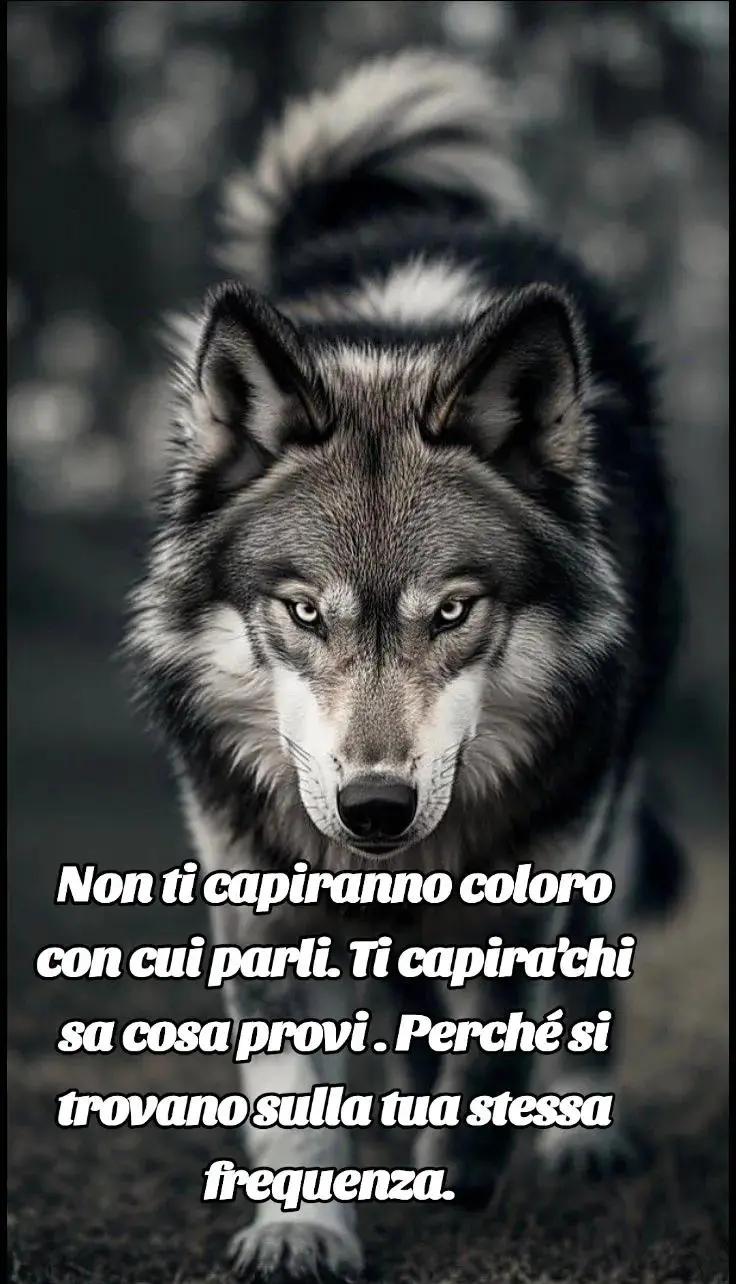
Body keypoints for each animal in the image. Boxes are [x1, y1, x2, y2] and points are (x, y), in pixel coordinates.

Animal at [127, 51, 684, 1283]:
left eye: (455, 612)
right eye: (302, 612)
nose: (375, 809)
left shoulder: (540, 860)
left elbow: (500, 1024)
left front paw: (466, 1155)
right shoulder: (265, 881)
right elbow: (298, 1086)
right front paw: (304, 1225)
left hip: (609, 826)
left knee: (583, 980)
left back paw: (577, 1135)